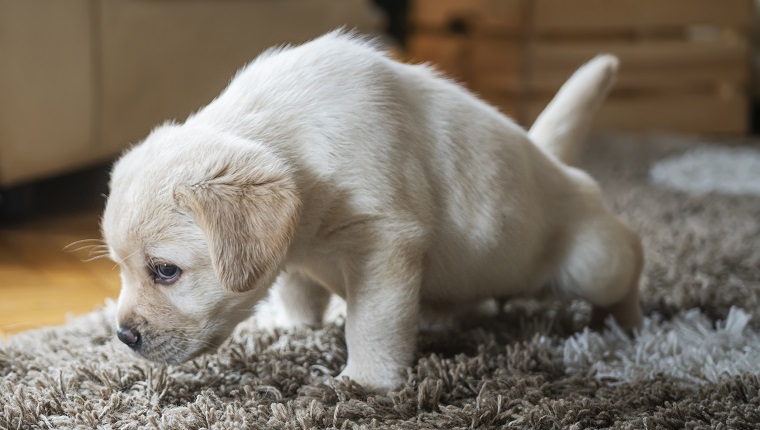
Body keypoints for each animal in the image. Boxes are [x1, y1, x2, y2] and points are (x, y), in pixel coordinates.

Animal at [104, 30, 644, 390]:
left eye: (165, 270)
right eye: (121, 269)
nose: (123, 335)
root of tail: (558, 164)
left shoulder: (385, 241)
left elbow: (371, 323)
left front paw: (364, 383)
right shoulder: (294, 245)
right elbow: (299, 290)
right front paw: (291, 329)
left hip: (594, 263)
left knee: (630, 255)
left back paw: (629, 324)